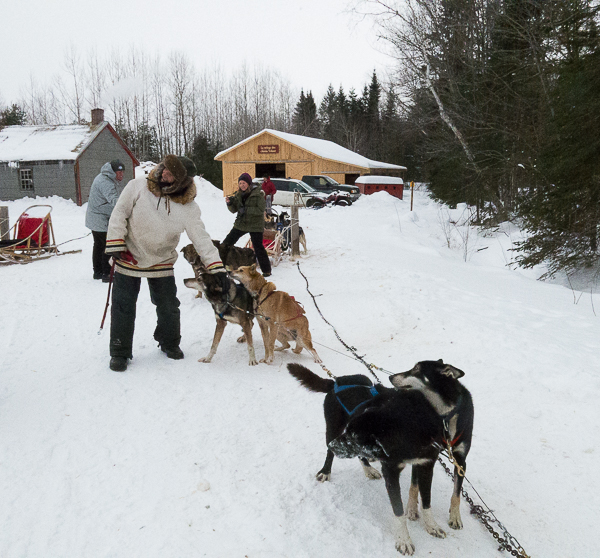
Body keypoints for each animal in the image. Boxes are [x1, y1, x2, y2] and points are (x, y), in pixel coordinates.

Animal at [288, 360, 472, 556]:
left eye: (354, 436)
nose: (332, 445)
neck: (411, 430)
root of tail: (337, 380)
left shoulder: (425, 466)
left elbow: (426, 501)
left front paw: (431, 526)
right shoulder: (391, 471)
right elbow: (398, 511)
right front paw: (404, 540)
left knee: (358, 455)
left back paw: (367, 468)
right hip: (333, 428)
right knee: (330, 455)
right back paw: (326, 471)